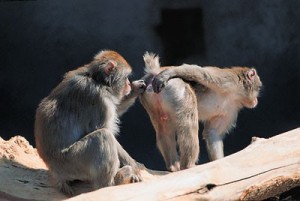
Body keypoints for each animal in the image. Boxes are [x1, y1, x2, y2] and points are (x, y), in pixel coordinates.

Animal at [34, 50, 146, 196]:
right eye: (126, 77)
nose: (128, 84)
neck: (97, 79)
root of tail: (55, 173)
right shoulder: (99, 99)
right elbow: (105, 129)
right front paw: (134, 167)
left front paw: (136, 89)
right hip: (72, 162)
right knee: (103, 136)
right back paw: (113, 183)